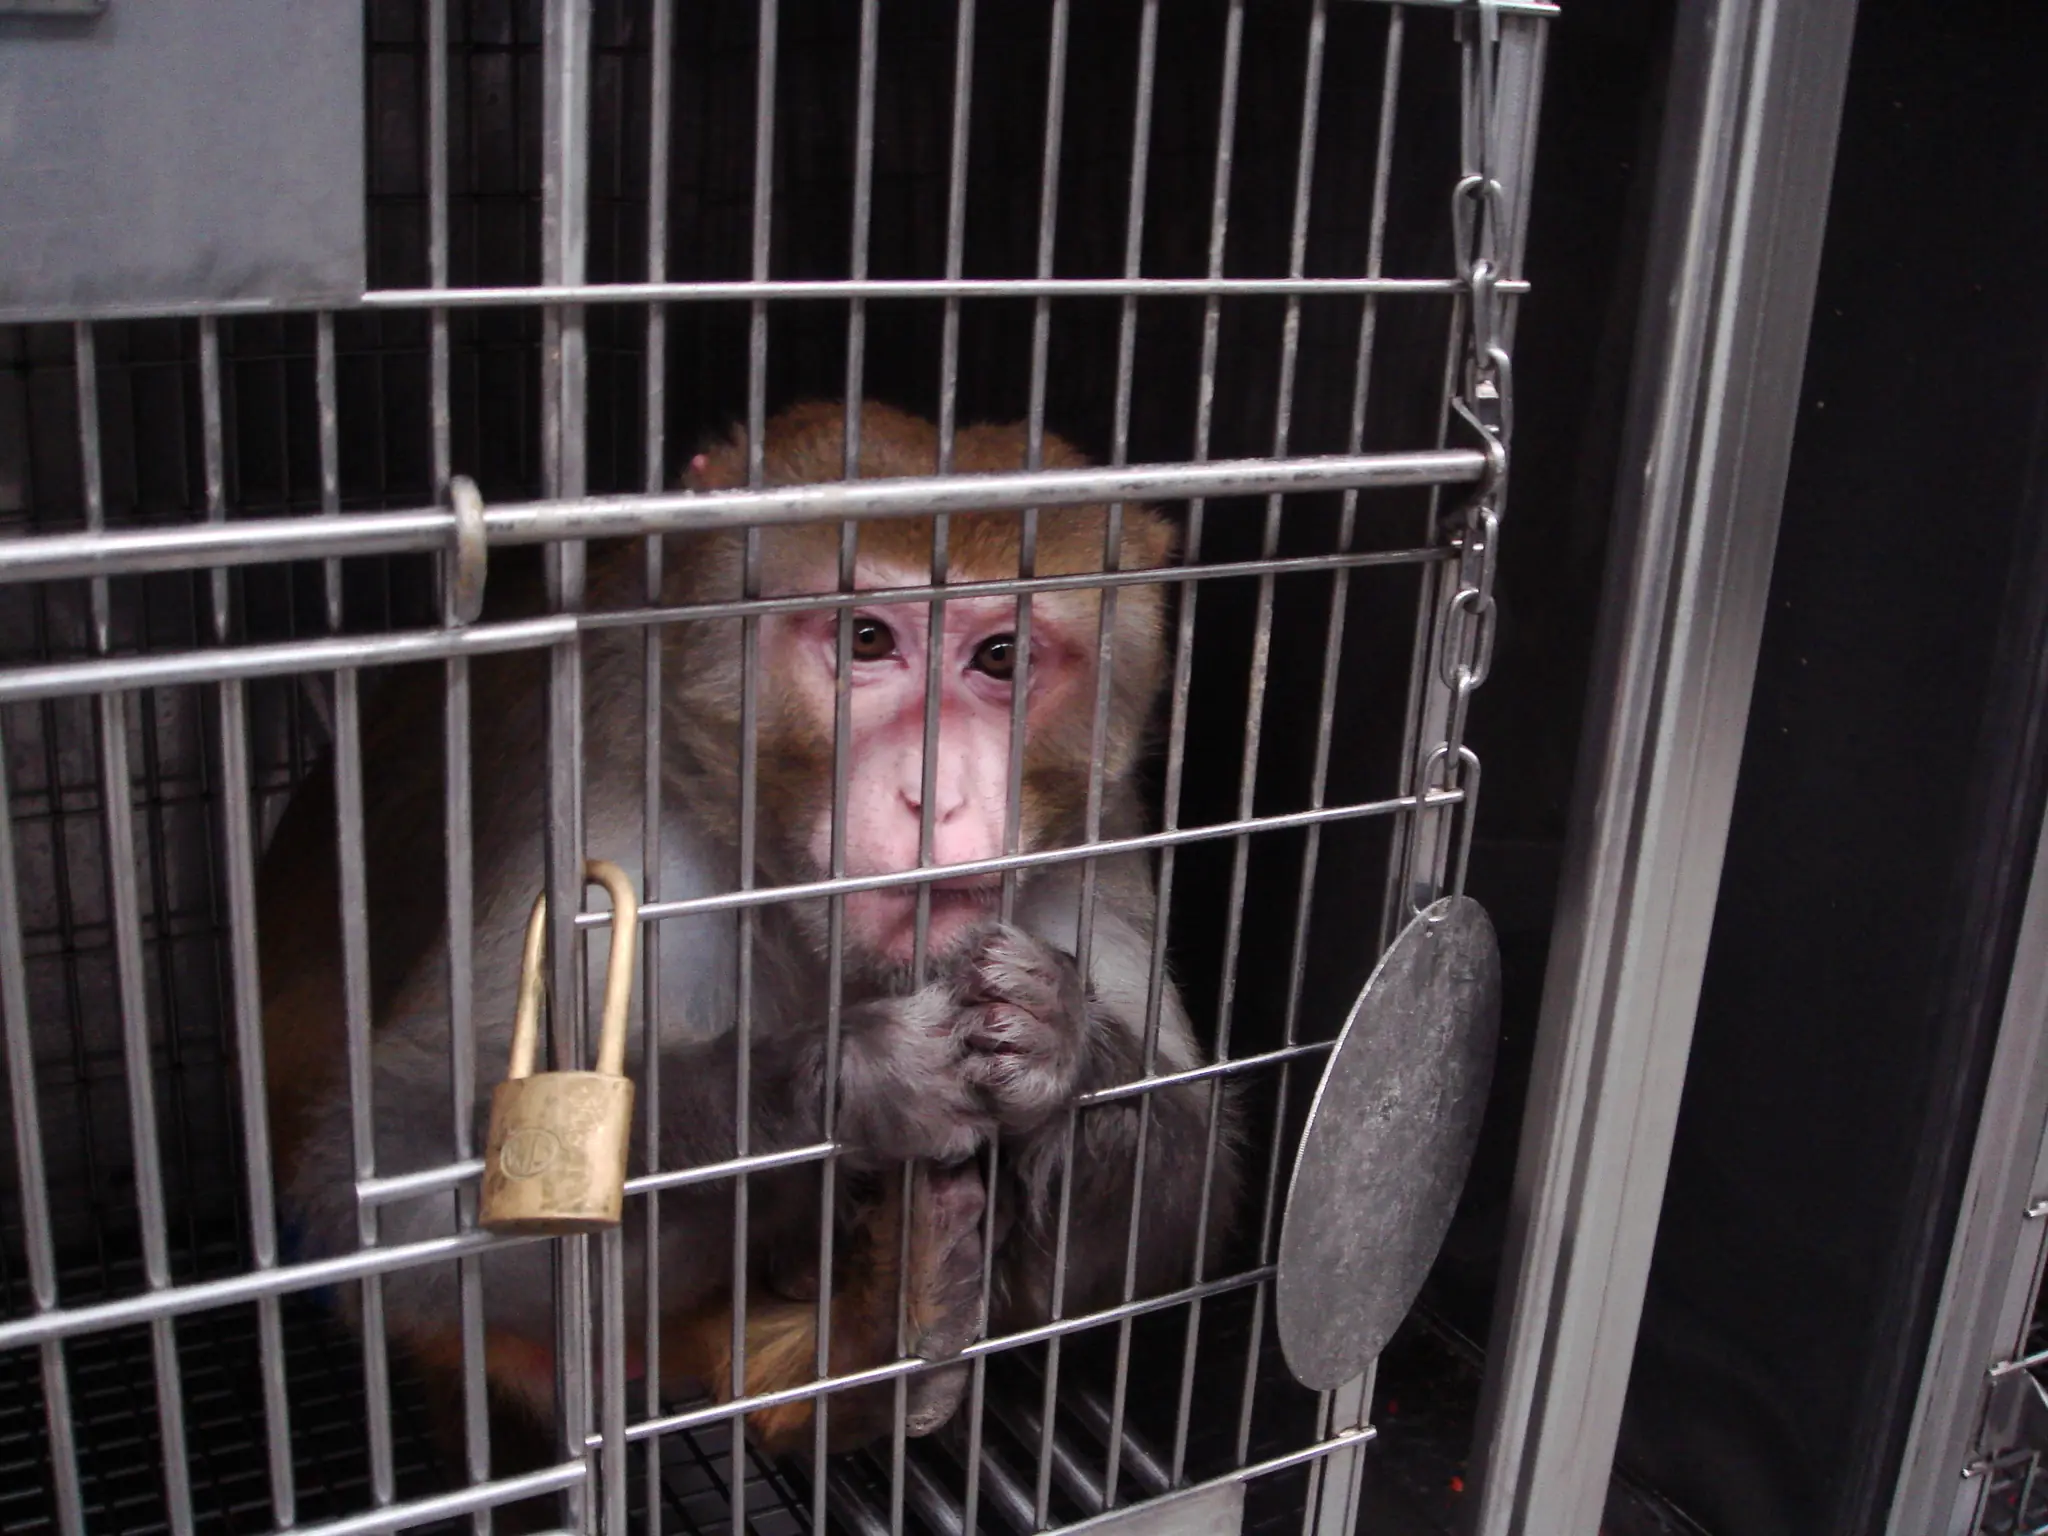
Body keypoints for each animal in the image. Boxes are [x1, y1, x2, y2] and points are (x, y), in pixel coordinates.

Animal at [258, 399, 1239, 1497]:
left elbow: (1183, 1207)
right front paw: (855, 1075)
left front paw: (1060, 1045)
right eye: (866, 638)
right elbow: (399, 1183)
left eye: (999, 658)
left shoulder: (1092, 840)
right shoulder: (618, 823)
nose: (935, 793)